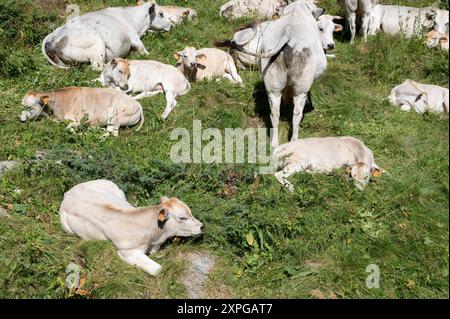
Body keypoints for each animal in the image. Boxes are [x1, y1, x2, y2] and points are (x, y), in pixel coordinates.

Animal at [41, 1, 171, 69]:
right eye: (161, 14)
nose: (171, 25)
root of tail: (52, 36)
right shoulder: (134, 38)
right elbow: (143, 49)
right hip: (97, 45)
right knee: (98, 66)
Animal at [59, 181, 203, 276]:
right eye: (182, 218)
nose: (202, 226)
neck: (155, 237)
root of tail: (68, 193)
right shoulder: (128, 252)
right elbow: (158, 269)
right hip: (67, 228)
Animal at [227, 0, 326, 148]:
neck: (297, 9)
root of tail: (289, 35)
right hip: (301, 86)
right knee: (296, 114)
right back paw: (294, 140)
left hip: (272, 82)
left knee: (274, 113)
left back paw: (274, 143)